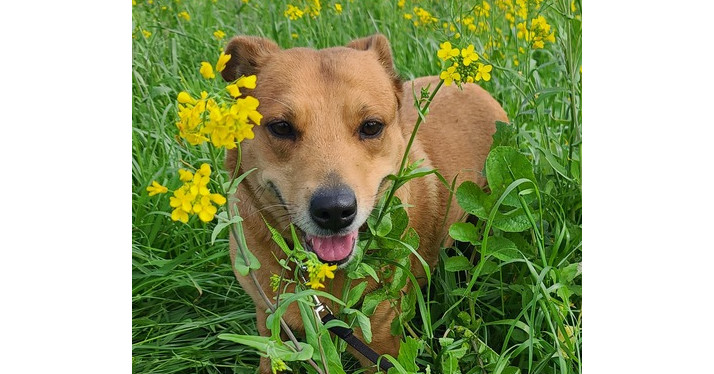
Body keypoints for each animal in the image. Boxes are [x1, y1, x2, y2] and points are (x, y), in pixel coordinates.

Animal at [220, 32, 504, 372]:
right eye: (281, 127)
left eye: (371, 126)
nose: (334, 211)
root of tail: (476, 87)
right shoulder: (270, 328)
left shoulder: (380, 344)